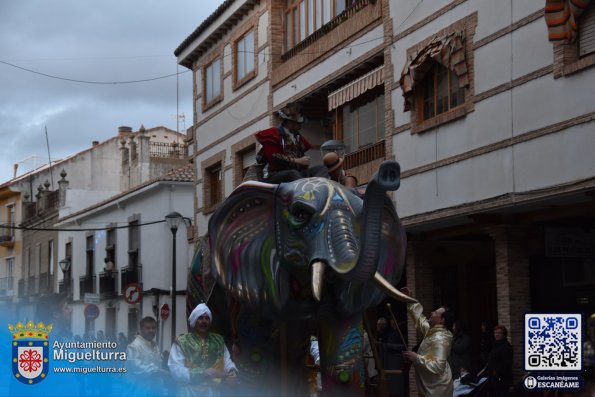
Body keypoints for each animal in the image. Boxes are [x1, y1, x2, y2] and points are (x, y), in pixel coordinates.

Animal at [186, 159, 414, 394]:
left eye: (361, 216)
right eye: (300, 215)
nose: (388, 171)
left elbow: (344, 370)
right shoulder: (250, 281)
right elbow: (255, 360)